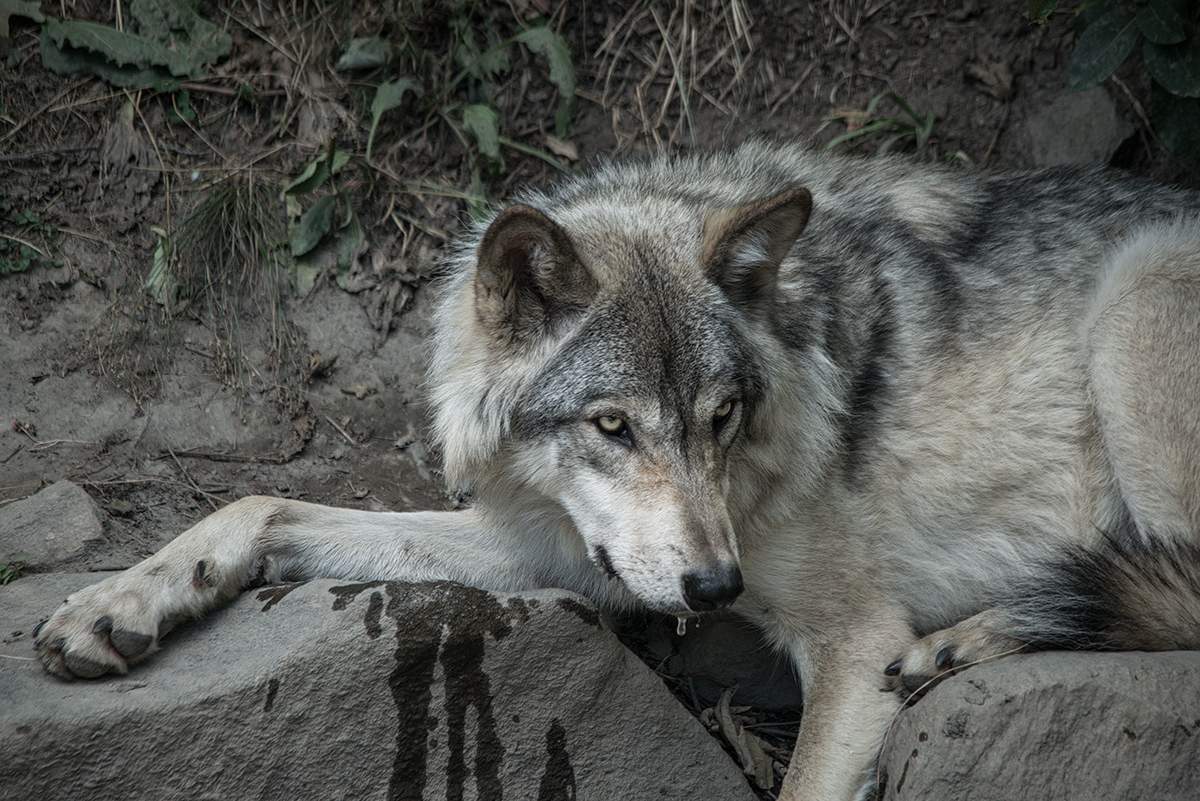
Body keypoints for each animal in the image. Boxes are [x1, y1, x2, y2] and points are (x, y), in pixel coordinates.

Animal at [33, 140, 1200, 800]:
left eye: (720, 417)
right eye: (612, 425)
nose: (716, 589)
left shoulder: (855, 638)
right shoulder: (549, 550)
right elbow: (263, 501)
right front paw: (120, 601)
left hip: (1136, 293)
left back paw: (976, 636)